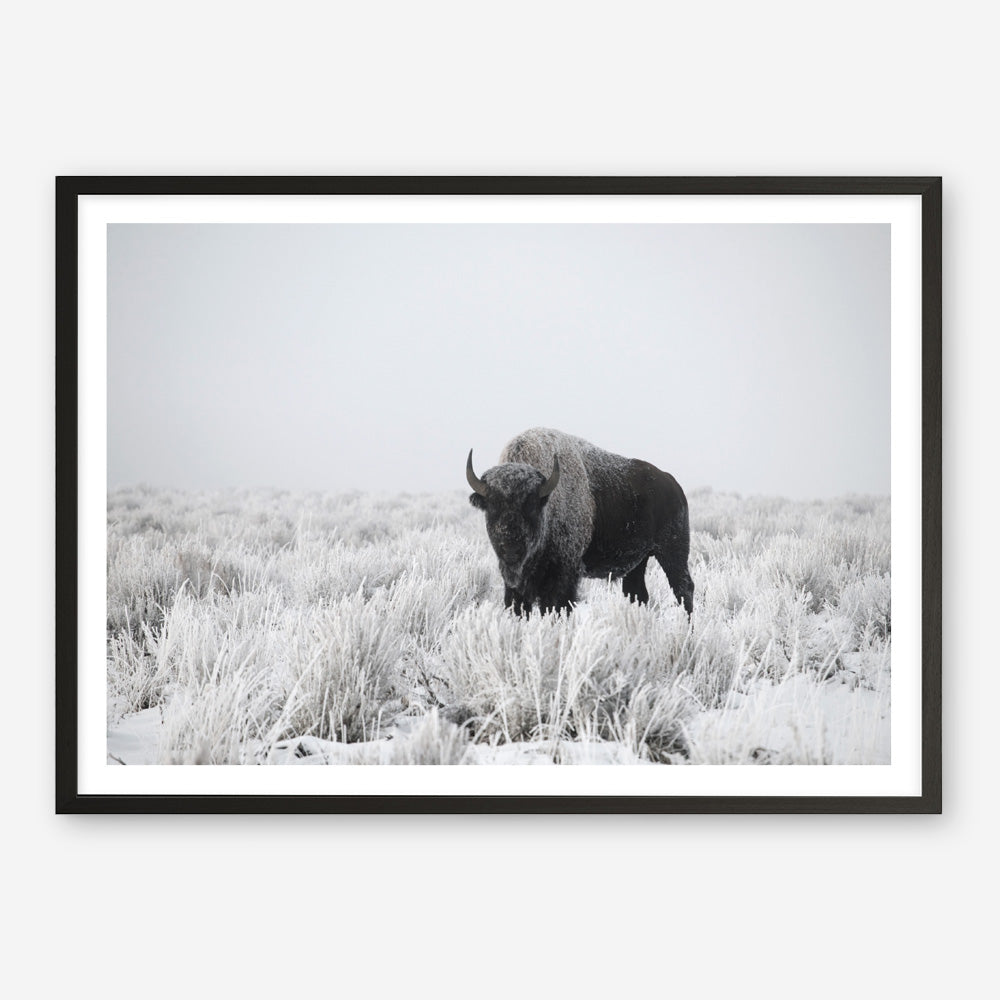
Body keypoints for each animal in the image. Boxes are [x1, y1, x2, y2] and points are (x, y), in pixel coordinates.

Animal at [467, 428, 693, 616]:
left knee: (683, 589)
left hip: (672, 552)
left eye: (530, 506)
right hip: (639, 561)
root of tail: (673, 485)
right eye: (492, 506)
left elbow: (557, 606)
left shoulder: (564, 573)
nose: (511, 548)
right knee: (638, 594)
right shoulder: (515, 584)